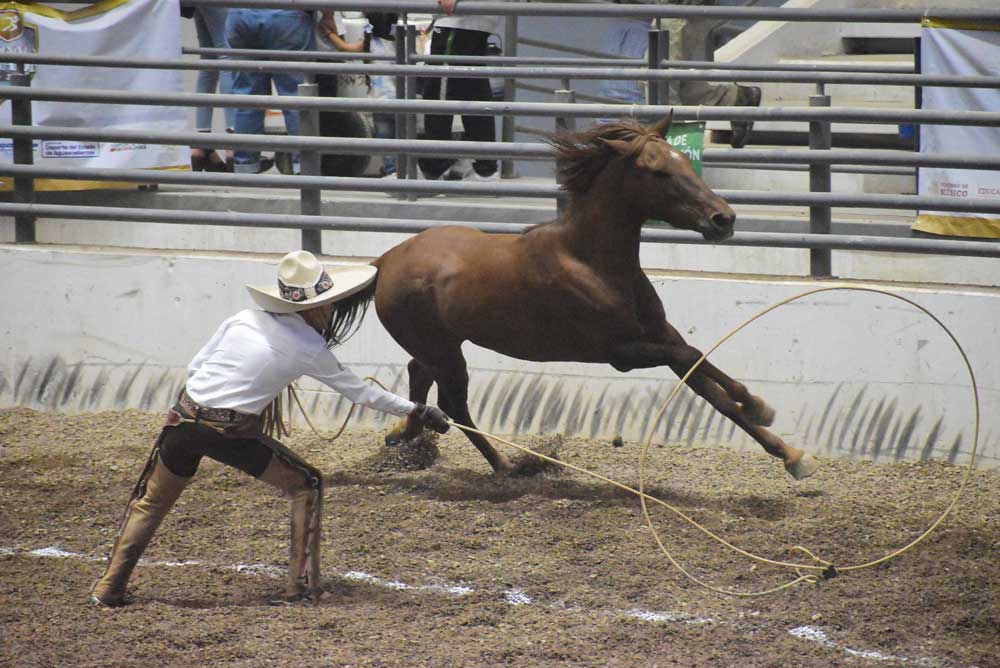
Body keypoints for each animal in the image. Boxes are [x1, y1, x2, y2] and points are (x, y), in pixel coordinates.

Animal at [372, 115, 816, 480]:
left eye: (686, 163)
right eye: (659, 172)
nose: (724, 219)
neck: (592, 262)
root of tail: (385, 260)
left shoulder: (660, 334)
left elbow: (706, 380)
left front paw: (791, 454)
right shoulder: (620, 351)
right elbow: (693, 358)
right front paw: (760, 406)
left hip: (442, 346)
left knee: (419, 374)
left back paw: (408, 433)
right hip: (446, 352)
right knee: (453, 400)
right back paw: (503, 464)